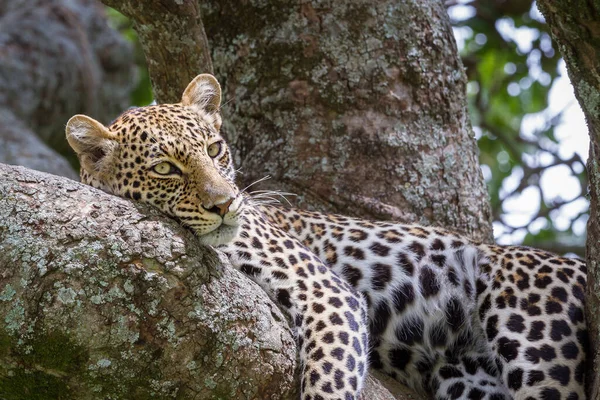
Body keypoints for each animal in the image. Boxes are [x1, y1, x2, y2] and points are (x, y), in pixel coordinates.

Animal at [65, 74, 584, 400]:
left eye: (214, 150)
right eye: (165, 170)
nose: (226, 203)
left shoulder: (324, 289)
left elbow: (329, 379)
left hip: (531, 331)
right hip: (465, 375)